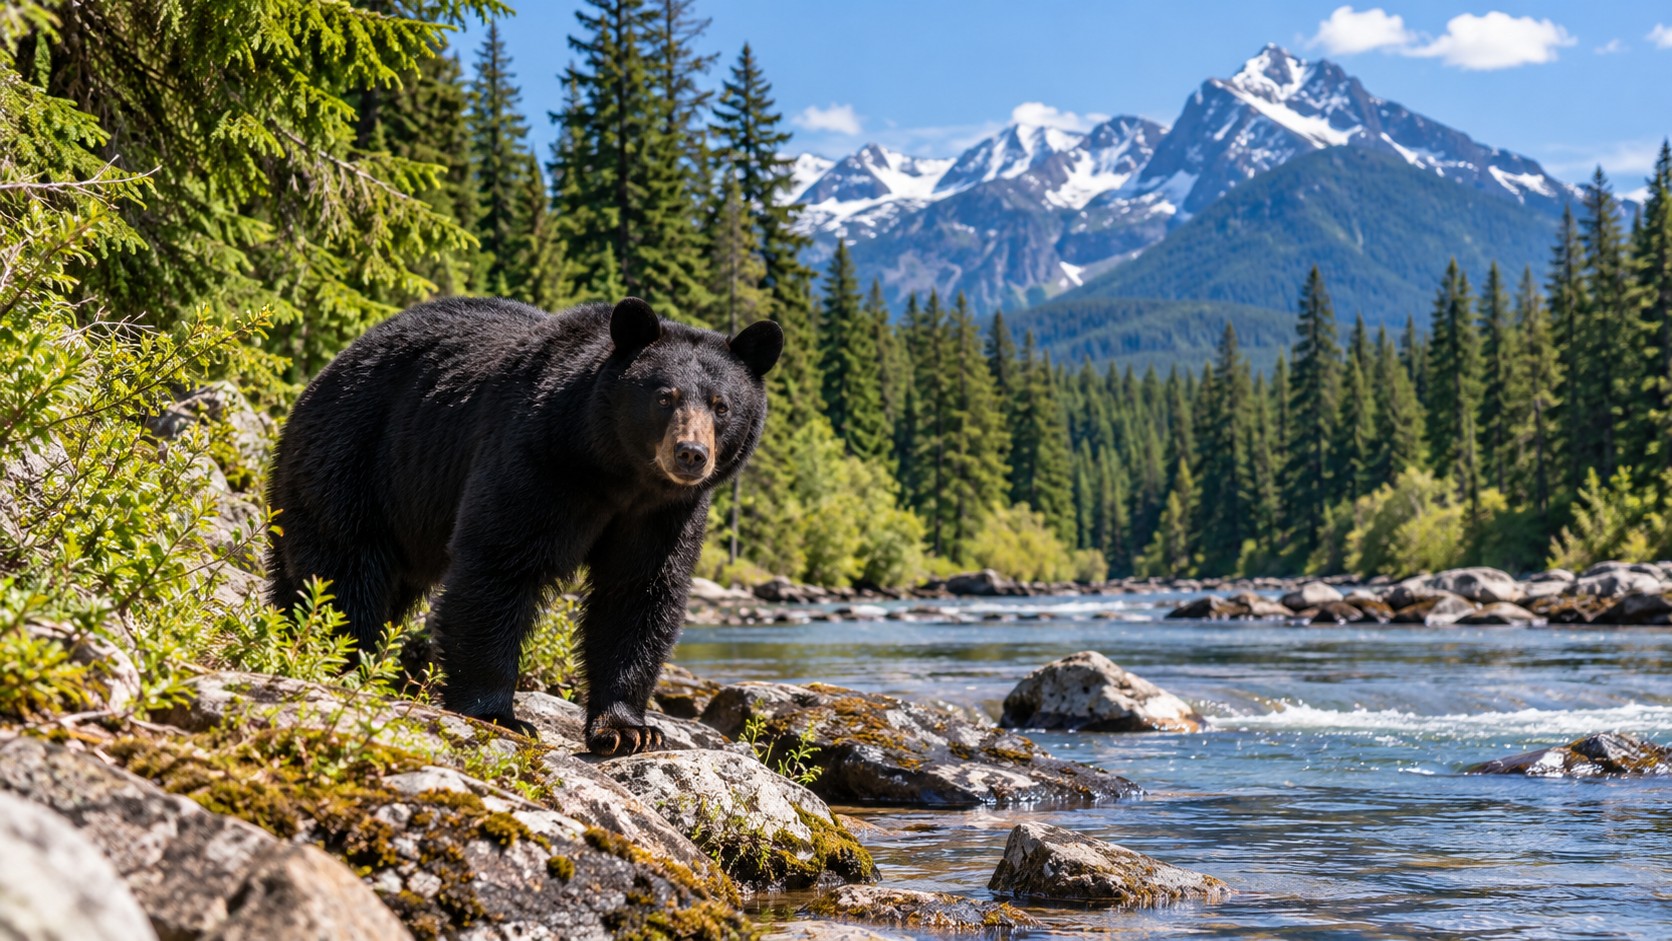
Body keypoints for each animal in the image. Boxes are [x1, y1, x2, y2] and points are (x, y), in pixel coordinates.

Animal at [264, 296, 782, 755]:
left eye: (721, 405)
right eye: (664, 396)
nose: (690, 454)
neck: (617, 472)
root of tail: (324, 373)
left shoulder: (665, 513)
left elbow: (638, 594)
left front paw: (629, 729)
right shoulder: (536, 460)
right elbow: (500, 564)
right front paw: (497, 713)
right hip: (357, 460)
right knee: (343, 570)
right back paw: (338, 659)